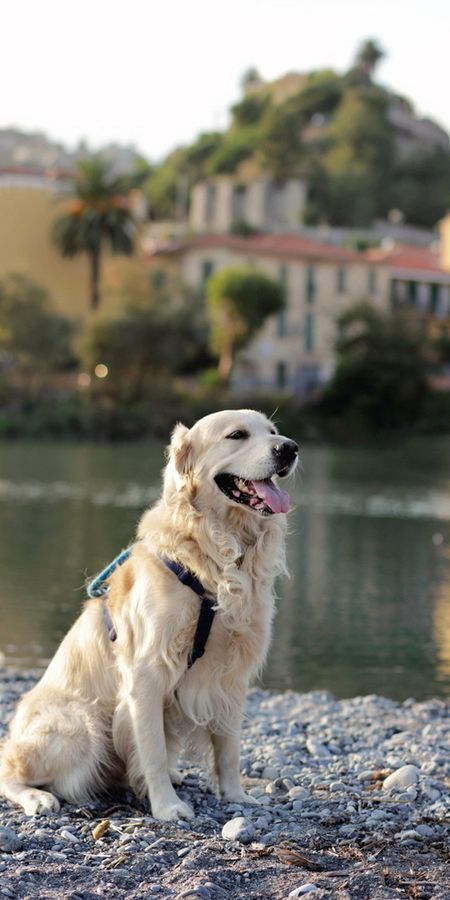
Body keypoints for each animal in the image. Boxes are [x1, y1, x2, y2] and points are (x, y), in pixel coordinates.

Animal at [0, 412, 298, 820]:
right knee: (10, 769)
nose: (290, 448)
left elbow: (229, 748)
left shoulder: (232, 676)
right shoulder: (147, 672)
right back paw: (39, 798)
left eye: (272, 432)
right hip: (81, 725)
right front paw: (167, 806)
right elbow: (153, 750)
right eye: (237, 435)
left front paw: (236, 796)